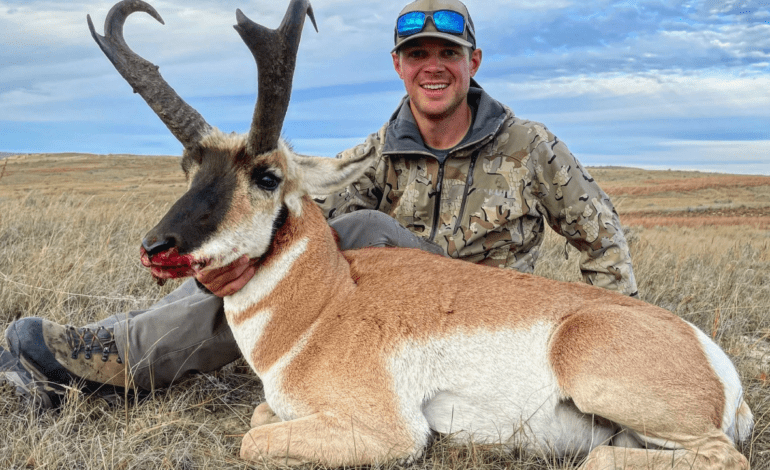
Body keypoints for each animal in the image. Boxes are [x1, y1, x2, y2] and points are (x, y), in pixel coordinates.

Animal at [88, 0, 753, 468]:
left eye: (267, 175)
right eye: (188, 168)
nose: (156, 247)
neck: (327, 303)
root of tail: (712, 358)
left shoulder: (389, 432)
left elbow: (253, 438)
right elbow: (258, 416)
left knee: (702, 458)